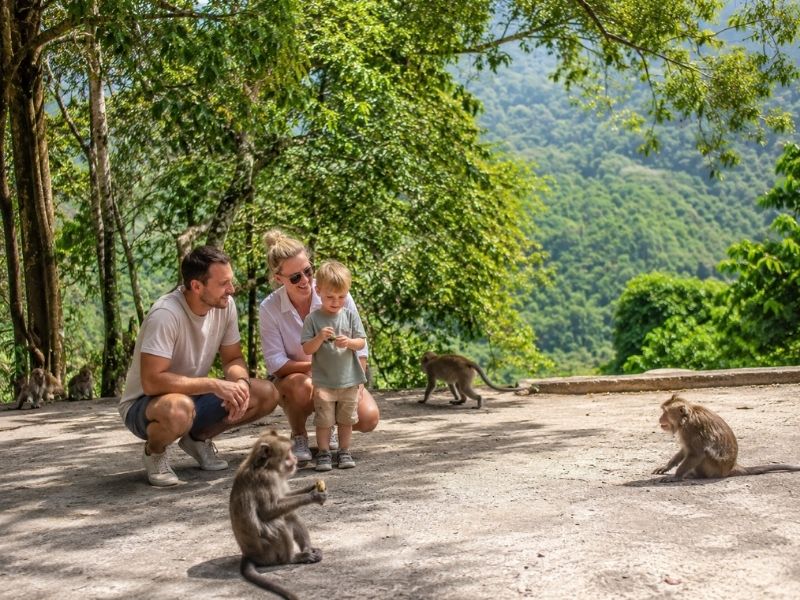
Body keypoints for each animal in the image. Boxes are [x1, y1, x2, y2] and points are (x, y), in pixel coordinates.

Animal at [229, 430, 327, 599]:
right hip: (267, 553)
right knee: (278, 523)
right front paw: (313, 495)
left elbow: (285, 497)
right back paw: (291, 559)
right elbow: (267, 511)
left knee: (290, 515)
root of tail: (249, 555)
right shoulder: (266, 479)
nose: (295, 458)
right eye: (288, 453)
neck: (267, 467)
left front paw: (311, 487)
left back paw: (308, 550)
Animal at [653, 394, 800, 481]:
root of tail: (731, 466)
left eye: (665, 412)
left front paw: (676, 476)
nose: (659, 418)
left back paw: (695, 475)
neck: (686, 418)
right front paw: (666, 467)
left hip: (715, 469)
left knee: (705, 453)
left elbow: (696, 454)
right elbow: (685, 450)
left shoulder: (689, 430)